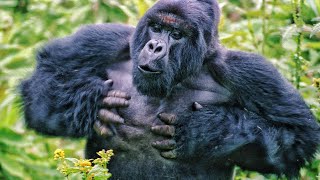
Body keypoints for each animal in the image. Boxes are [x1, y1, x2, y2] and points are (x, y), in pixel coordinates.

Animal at [20, 0, 320, 179]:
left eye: (176, 35)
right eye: (156, 27)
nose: (154, 47)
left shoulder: (248, 71)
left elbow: (298, 137)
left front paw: (206, 130)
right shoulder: (106, 39)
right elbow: (43, 80)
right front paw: (93, 105)